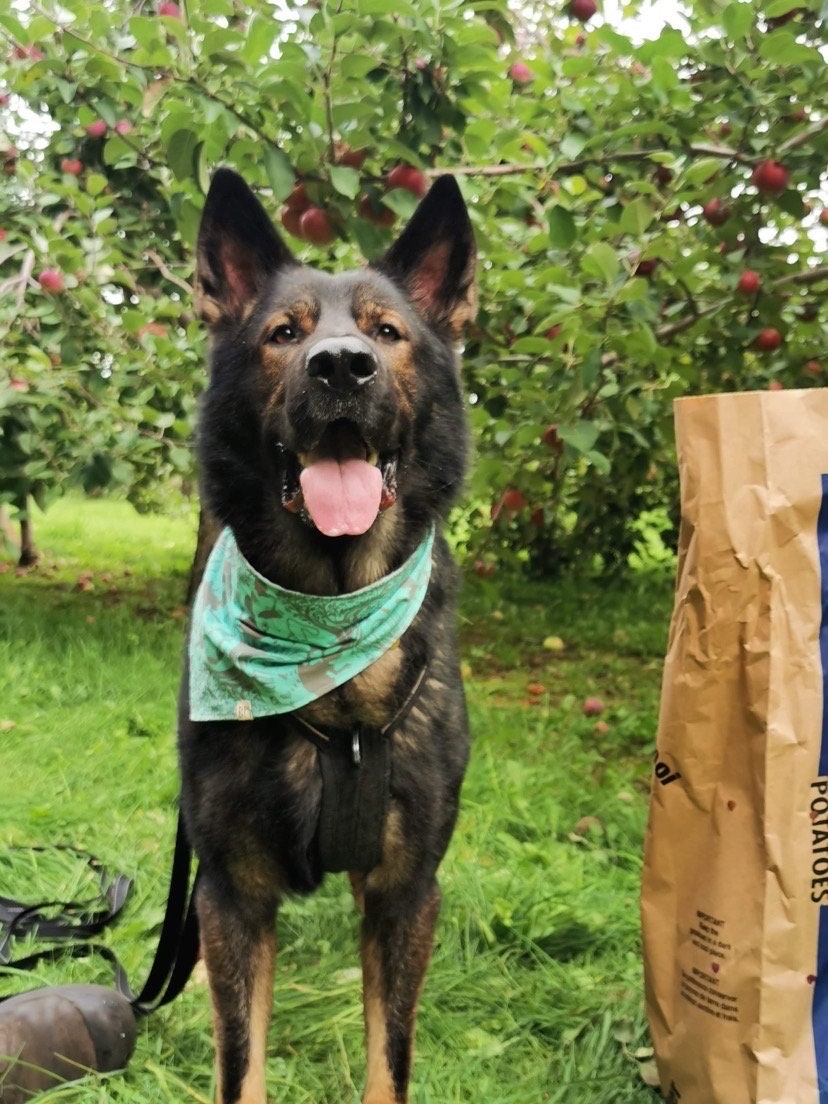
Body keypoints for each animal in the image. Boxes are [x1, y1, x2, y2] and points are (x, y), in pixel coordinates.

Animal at [179, 165, 479, 1104]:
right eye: (284, 334)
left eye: (386, 333)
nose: (342, 366)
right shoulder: (235, 893)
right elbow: (239, 1062)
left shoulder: (405, 892)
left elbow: (391, 1057)